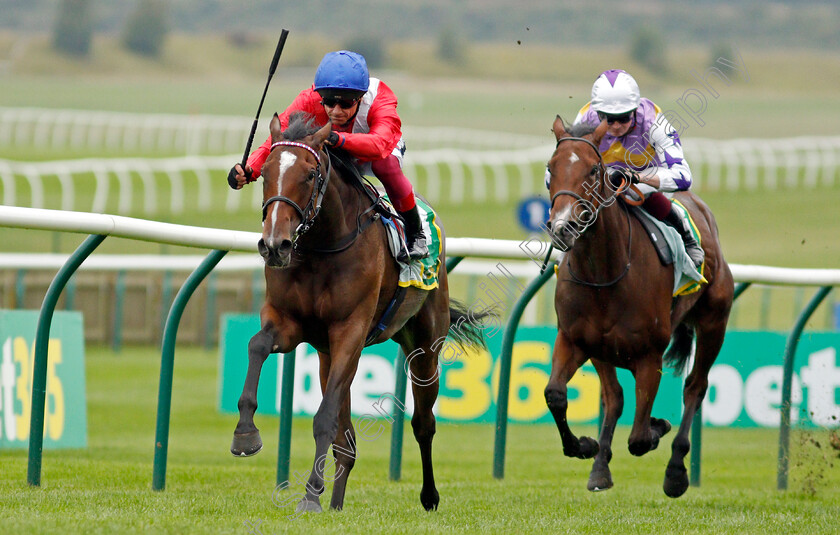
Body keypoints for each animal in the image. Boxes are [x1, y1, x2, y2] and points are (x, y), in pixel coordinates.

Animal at [233, 113, 488, 516]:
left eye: (310, 174)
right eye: (265, 171)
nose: (274, 245)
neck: (323, 246)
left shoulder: (350, 331)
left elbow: (324, 418)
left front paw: (310, 497)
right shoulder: (289, 323)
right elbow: (257, 345)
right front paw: (245, 433)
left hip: (425, 345)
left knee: (423, 423)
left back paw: (429, 496)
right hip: (327, 355)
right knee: (347, 442)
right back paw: (336, 504)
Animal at [544, 117, 736, 498]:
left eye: (593, 169)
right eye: (550, 168)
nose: (563, 227)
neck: (605, 274)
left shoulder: (649, 356)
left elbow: (639, 437)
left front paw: (658, 427)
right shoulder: (576, 340)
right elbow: (556, 394)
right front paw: (585, 447)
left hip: (714, 322)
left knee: (695, 386)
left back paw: (676, 471)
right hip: (603, 350)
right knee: (614, 397)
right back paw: (600, 467)